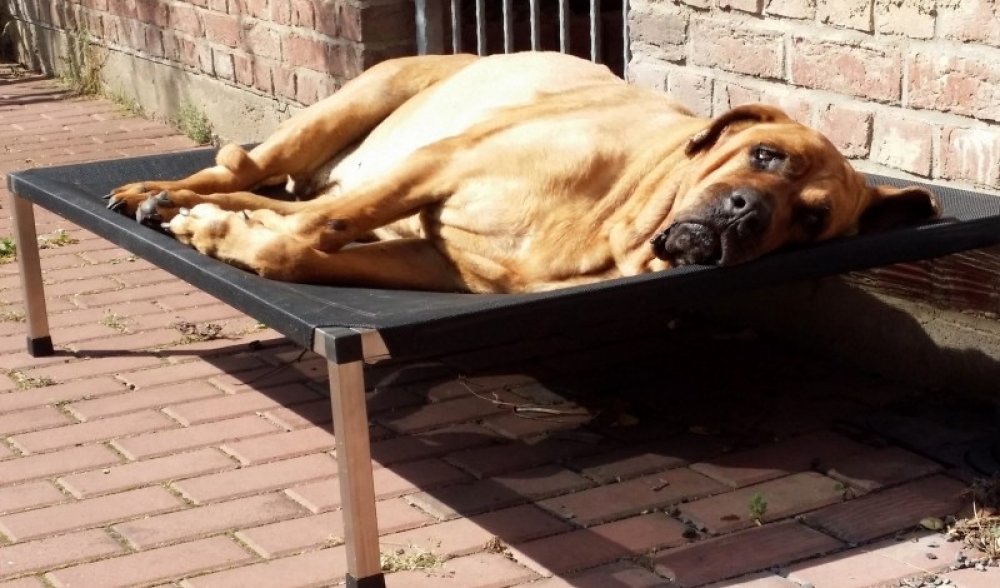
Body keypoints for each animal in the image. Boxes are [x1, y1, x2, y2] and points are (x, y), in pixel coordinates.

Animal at [106, 52, 939, 294]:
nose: (746, 212)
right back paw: (166, 194)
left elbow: (306, 249)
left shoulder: (436, 261)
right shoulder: (441, 163)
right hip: (362, 102)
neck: (615, 220)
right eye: (766, 156)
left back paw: (175, 202)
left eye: (811, 219)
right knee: (252, 173)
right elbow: (307, 236)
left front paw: (225, 235)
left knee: (280, 201)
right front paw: (215, 228)